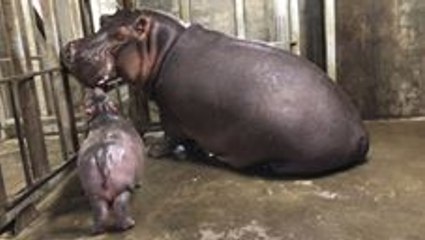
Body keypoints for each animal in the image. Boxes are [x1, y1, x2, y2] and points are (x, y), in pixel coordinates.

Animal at [60, 8, 368, 175]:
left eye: (121, 35)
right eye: (103, 19)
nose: (68, 49)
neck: (161, 46)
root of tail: (361, 134)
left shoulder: (170, 111)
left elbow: (171, 136)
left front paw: (154, 148)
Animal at [78, 87, 146, 233]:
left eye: (103, 95)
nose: (95, 88)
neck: (104, 114)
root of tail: (102, 154)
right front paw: (139, 184)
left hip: (94, 193)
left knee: (100, 210)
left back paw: (97, 229)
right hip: (123, 187)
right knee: (120, 205)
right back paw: (129, 224)